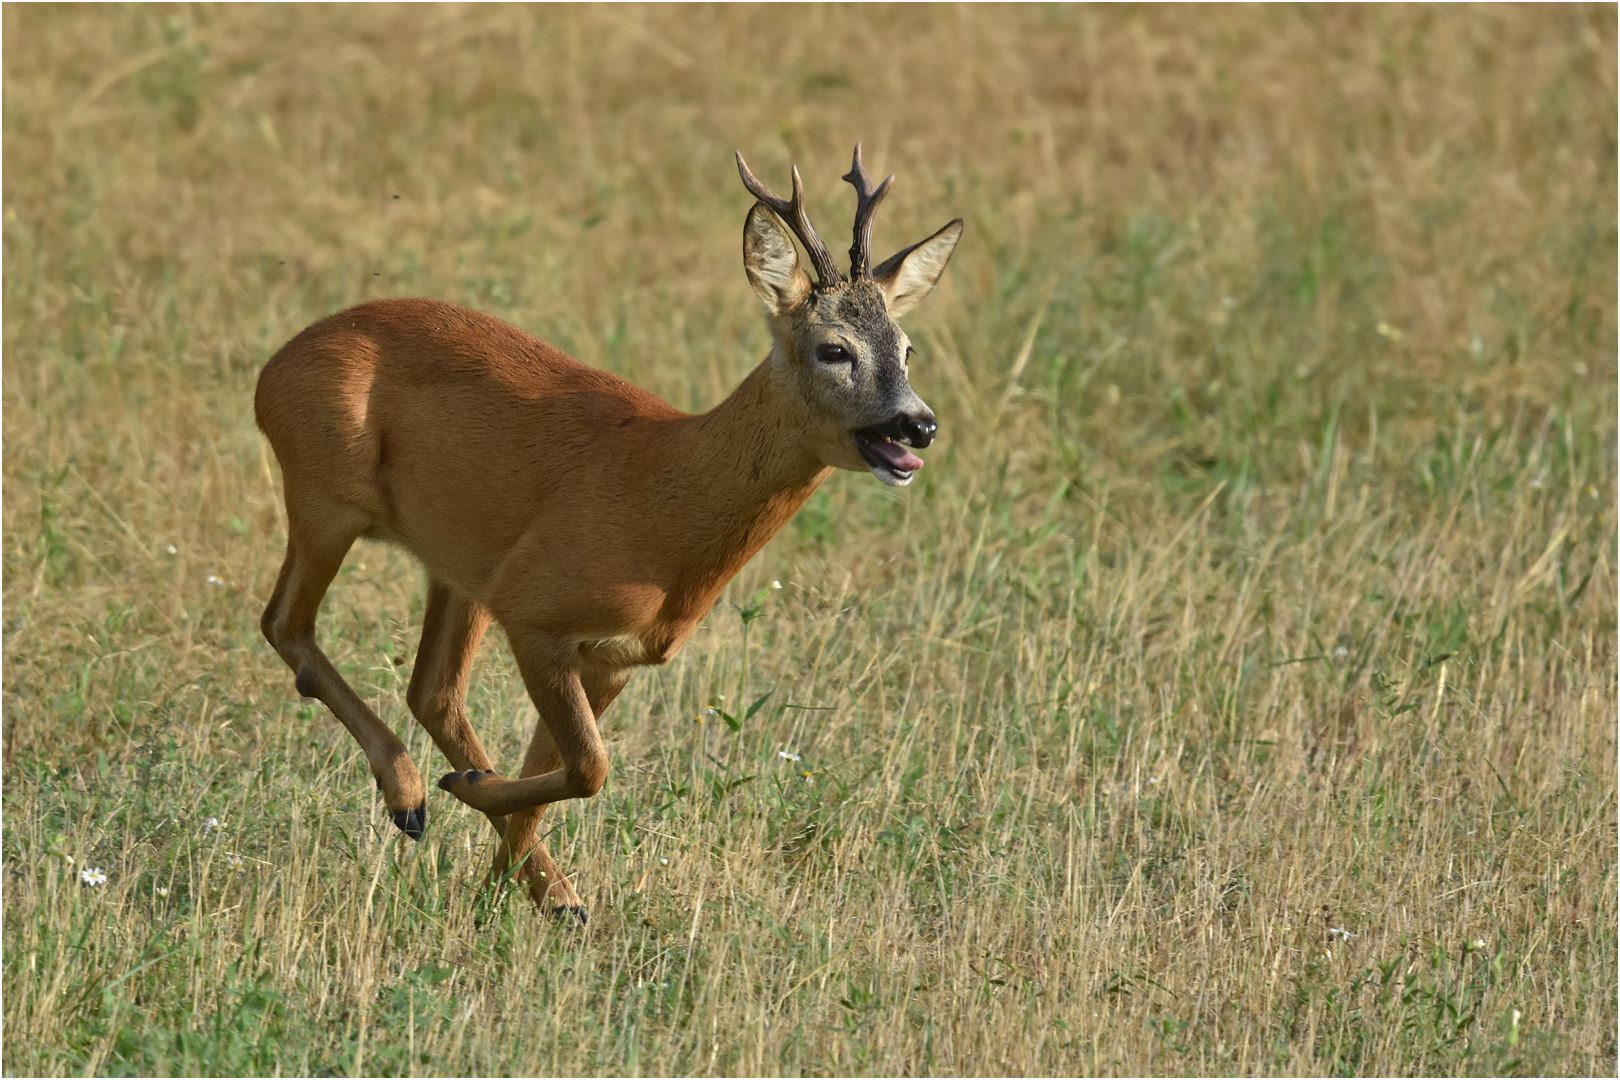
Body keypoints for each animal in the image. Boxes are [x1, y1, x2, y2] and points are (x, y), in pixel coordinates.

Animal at [254, 145, 959, 919]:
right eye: (834, 349)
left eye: (907, 347)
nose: (917, 424)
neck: (666, 506)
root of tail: (273, 368)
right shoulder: (537, 613)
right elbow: (592, 766)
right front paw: (482, 819)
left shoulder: (612, 655)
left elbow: (563, 771)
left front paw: (517, 886)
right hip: (325, 494)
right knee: (286, 622)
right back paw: (410, 793)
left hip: (460, 566)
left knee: (432, 689)